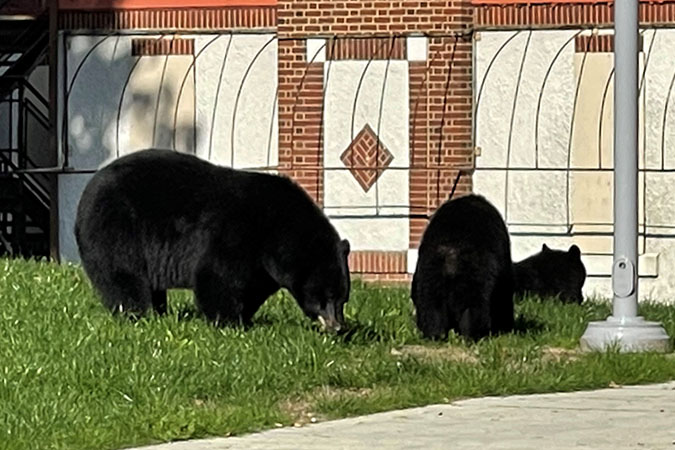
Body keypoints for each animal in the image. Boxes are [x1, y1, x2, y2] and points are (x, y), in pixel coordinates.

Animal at [76, 149, 352, 330]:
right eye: (325, 296)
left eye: (343, 297)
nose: (338, 326)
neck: (278, 228)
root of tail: (88, 187)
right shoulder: (236, 232)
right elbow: (217, 275)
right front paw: (229, 323)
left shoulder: (262, 263)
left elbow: (253, 285)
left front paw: (245, 317)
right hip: (116, 227)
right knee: (123, 275)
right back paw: (138, 314)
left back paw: (159, 311)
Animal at [410, 195, 516, 340]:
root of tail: (452, 252)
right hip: (475, 273)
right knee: (474, 306)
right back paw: (473, 335)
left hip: (430, 270)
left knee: (431, 304)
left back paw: (435, 335)